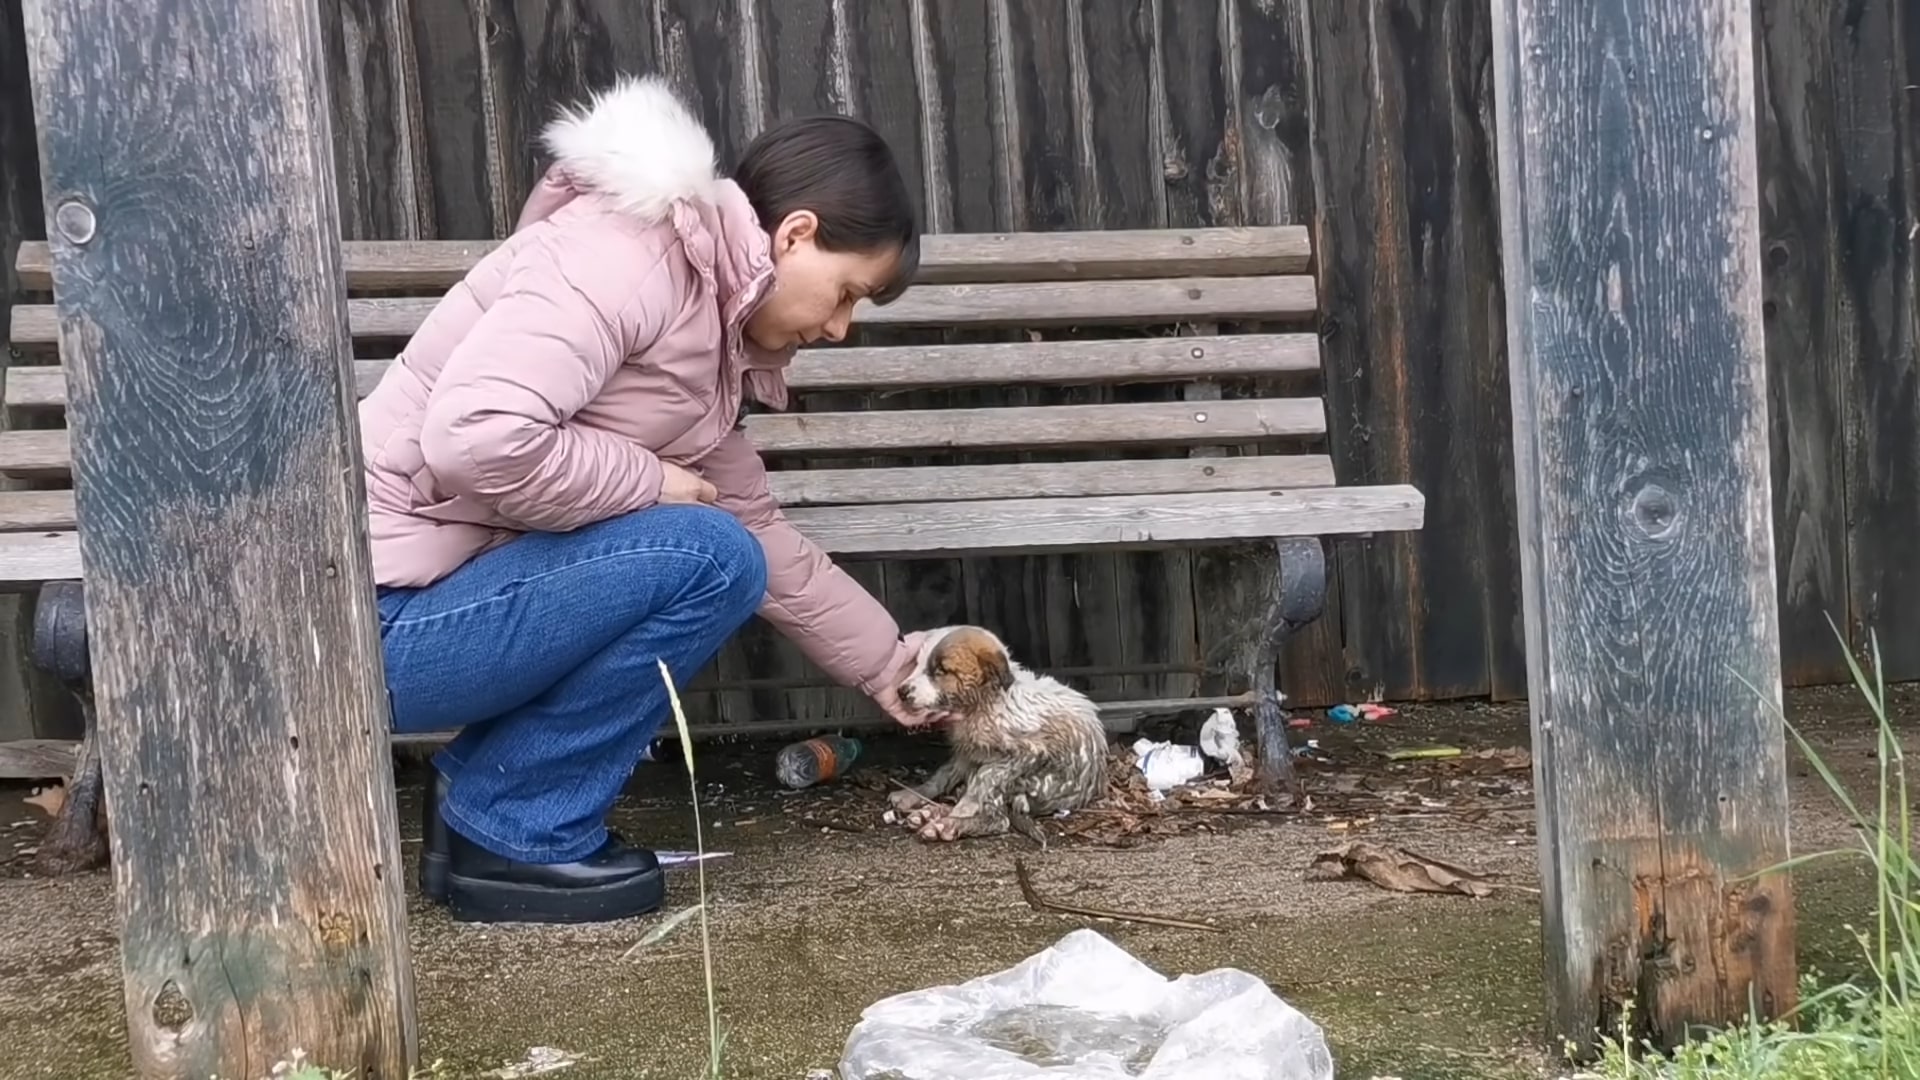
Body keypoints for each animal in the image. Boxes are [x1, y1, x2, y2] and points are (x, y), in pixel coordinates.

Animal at [887, 622, 1113, 841]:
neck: (984, 703)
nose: (901, 691)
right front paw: (913, 794)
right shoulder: (967, 751)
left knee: (999, 818)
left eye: (941, 670)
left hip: (1031, 781)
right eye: (917, 663)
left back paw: (947, 824)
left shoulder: (1028, 752)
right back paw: (932, 813)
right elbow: (943, 774)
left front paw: (962, 810)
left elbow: (984, 778)